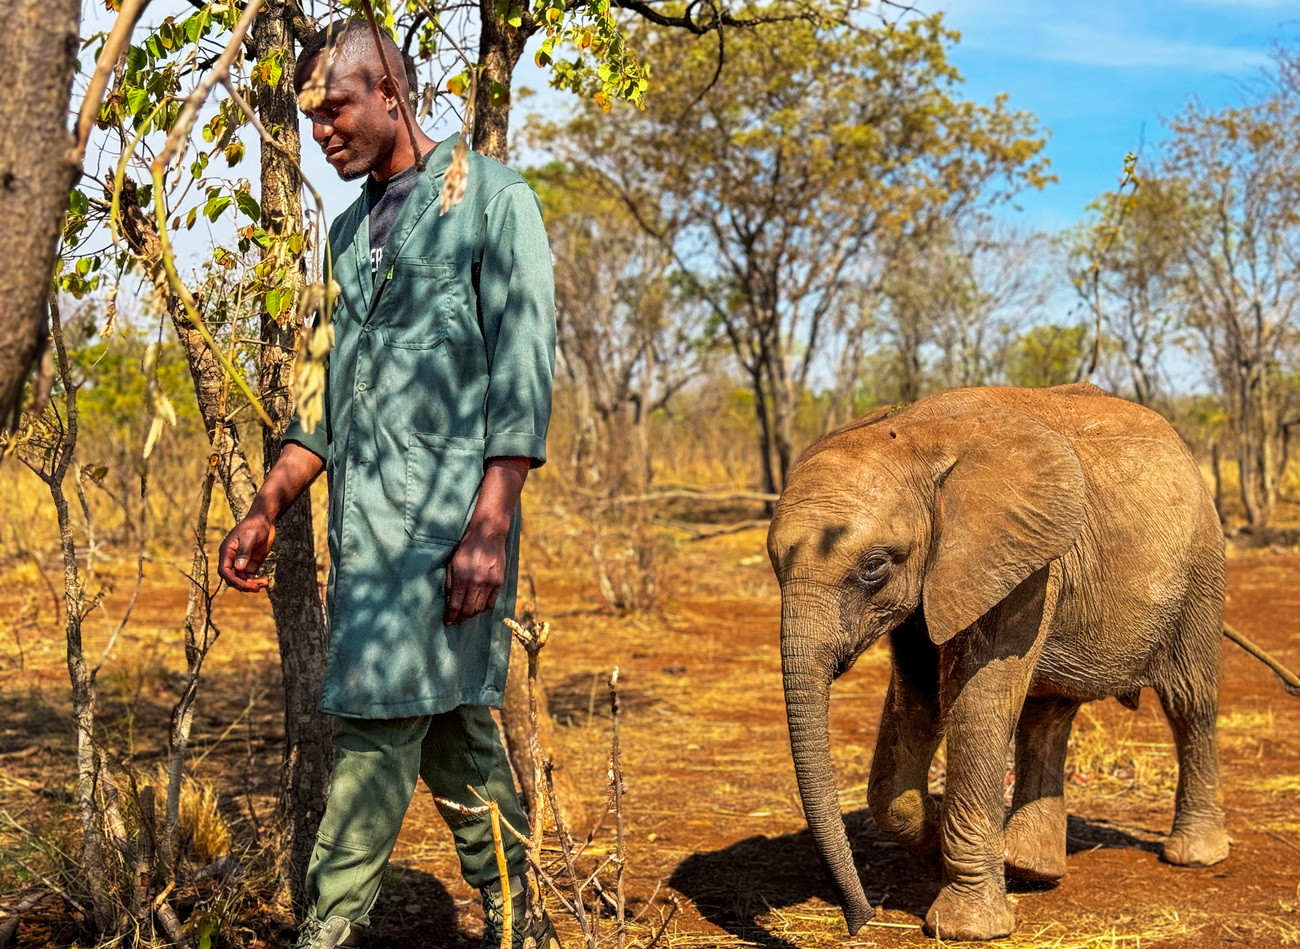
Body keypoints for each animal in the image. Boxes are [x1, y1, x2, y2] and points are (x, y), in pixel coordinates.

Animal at [764, 382, 1232, 941]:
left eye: (874, 566)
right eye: (773, 561)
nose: (862, 922)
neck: (913, 434)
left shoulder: (1015, 559)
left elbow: (976, 702)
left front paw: (966, 929)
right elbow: (917, 699)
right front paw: (937, 831)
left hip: (1201, 567)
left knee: (1188, 701)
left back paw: (1194, 856)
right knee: (1048, 714)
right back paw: (1029, 867)